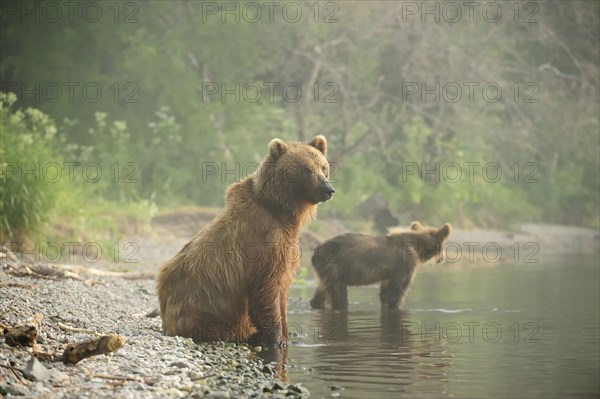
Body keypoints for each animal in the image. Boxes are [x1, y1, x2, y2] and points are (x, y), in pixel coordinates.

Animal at [157, 135, 336, 346]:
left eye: (324, 167)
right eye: (306, 169)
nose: (328, 189)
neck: (281, 211)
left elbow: (281, 291)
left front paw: (287, 333)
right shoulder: (265, 239)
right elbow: (266, 287)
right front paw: (277, 338)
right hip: (200, 307)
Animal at [310, 222, 450, 312]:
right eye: (444, 244)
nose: (443, 258)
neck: (417, 246)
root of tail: (315, 253)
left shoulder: (389, 273)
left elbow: (385, 292)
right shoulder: (404, 264)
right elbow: (397, 291)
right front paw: (396, 305)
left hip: (325, 272)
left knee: (322, 292)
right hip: (336, 268)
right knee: (339, 295)